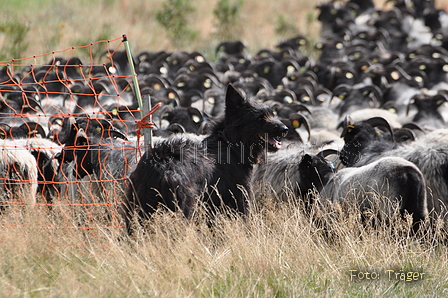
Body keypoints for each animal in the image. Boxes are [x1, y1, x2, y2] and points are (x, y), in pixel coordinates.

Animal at [124, 84, 288, 228]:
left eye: (272, 114)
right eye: (260, 118)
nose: (285, 129)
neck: (230, 143)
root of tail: (160, 164)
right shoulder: (240, 200)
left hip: (137, 209)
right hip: (183, 208)